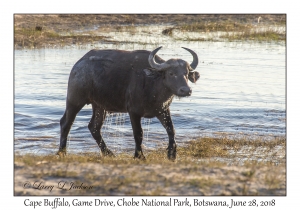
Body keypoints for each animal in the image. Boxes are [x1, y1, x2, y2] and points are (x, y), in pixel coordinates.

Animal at [58, 46, 199, 160]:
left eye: (186, 74)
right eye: (171, 73)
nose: (186, 90)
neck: (153, 84)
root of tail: (78, 64)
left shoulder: (162, 110)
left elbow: (171, 130)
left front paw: (172, 154)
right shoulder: (134, 112)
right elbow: (138, 134)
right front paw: (139, 155)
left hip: (99, 106)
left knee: (94, 127)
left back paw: (108, 153)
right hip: (75, 100)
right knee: (66, 123)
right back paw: (62, 152)